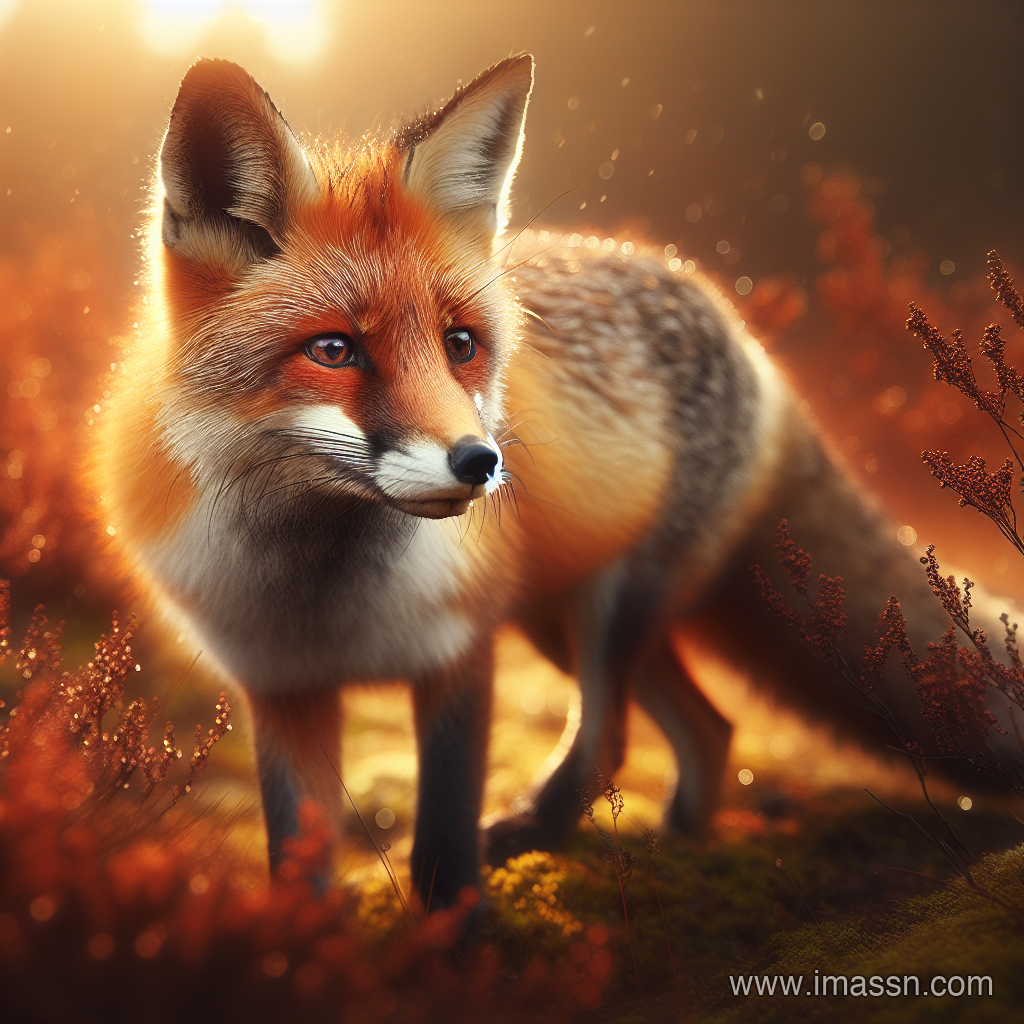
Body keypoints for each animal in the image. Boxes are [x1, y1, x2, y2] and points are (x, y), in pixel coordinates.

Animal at [97, 54, 1018, 911]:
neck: (318, 593)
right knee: (711, 727)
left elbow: (443, 841)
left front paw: (455, 939)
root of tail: (735, 321)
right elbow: (298, 857)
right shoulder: (282, 687)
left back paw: (557, 833)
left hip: (606, 605)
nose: (481, 462)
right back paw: (681, 852)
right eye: (334, 350)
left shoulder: (460, 652)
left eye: (461, 344)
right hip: (556, 613)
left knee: (613, 736)